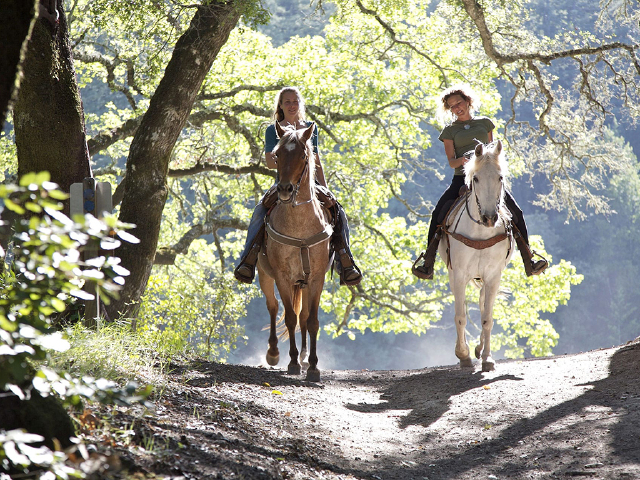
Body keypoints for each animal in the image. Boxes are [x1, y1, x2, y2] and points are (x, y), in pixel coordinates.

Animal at [256, 121, 332, 382]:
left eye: (303, 155)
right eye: (277, 155)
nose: (285, 190)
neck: (300, 227)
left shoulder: (317, 278)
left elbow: (312, 321)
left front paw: (313, 367)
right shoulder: (282, 276)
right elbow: (289, 317)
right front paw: (292, 363)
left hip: (304, 283)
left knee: (304, 317)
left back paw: (305, 356)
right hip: (265, 275)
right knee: (272, 307)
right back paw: (273, 353)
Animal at [440, 141, 516, 374]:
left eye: (500, 177)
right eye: (475, 178)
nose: (490, 218)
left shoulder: (493, 276)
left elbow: (487, 318)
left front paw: (487, 359)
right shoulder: (458, 275)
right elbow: (460, 317)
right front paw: (463, 354)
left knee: (483, 305)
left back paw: (480, 349)